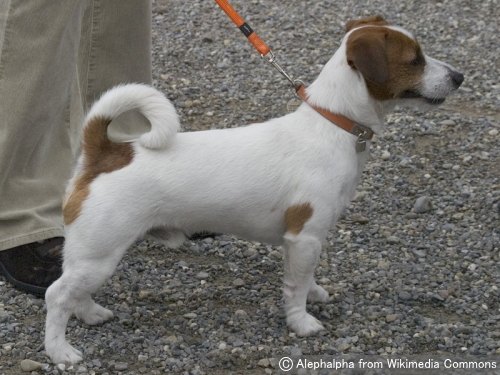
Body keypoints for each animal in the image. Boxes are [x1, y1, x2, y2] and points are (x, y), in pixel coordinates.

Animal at [45, 16, 462, 364]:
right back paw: (60, 351)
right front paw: (301, 322)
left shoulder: (307, 242)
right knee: (56, 295)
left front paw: (315, 294)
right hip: (100, 253)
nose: (459, 76)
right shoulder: (304, 237)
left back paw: (91, 314)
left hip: (92, 257)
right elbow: (295, 287)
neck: (333, 123)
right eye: (415, 59)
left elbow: (307, 278)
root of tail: (106, 153)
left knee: (73, 292)